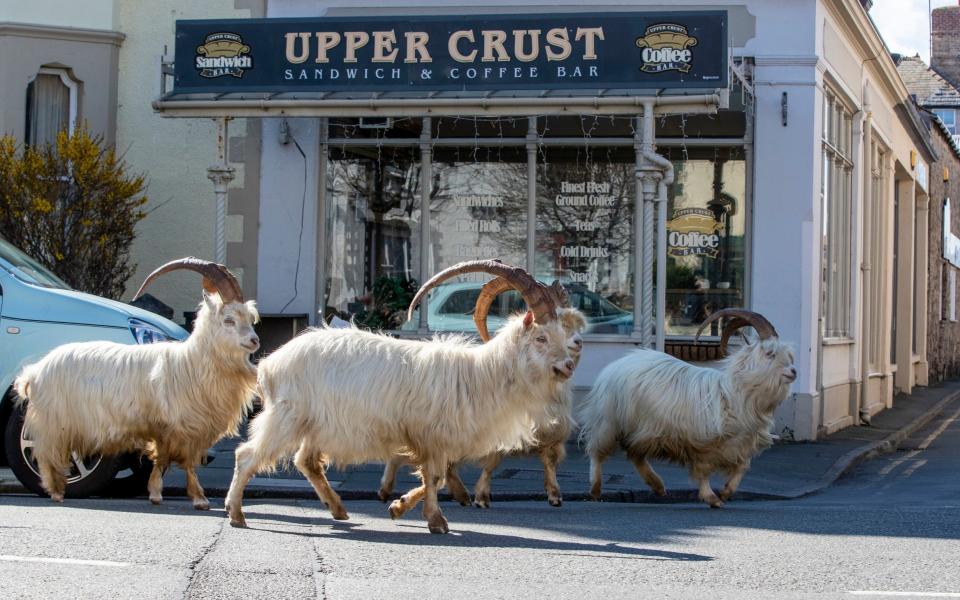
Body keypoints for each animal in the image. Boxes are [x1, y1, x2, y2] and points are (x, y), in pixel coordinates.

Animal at [15, 260, 262, 508]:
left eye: (250, 320)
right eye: (228, 320)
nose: (254, 341)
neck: (192, 362)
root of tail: (36, 371)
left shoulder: (186, 428)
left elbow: (173, 459)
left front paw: (161, 494)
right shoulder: (175, 426)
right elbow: (176, 460)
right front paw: (194, 498)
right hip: (55, 421)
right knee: (46, 453)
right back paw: (55, 491)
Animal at [227, 260, 584, 532]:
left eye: (561, 333)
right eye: (540, 337)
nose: (568, 365)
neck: (481, 375)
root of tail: (271, 363)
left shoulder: (433, 440)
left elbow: (435, 478)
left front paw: (399, 507)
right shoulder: (432, 436)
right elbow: (435, 476)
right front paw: (436, 521)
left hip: (317, 425)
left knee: (307, 461)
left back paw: (338, 509)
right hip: (287, 416)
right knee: (247, 455)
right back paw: (236, 514)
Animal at [576, 312, 796, 508]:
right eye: (769, 354)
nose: (793, 372)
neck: (735, 393)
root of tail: (617, 364)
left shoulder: (740, 444)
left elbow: (742, 468)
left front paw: (726, 492)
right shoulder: (704, 444)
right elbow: (703, 471)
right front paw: (712, 498)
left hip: (642, 430)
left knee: (634, 454)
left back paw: (658, 486)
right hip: (609, 420)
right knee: (597, 451)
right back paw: (596, 489)